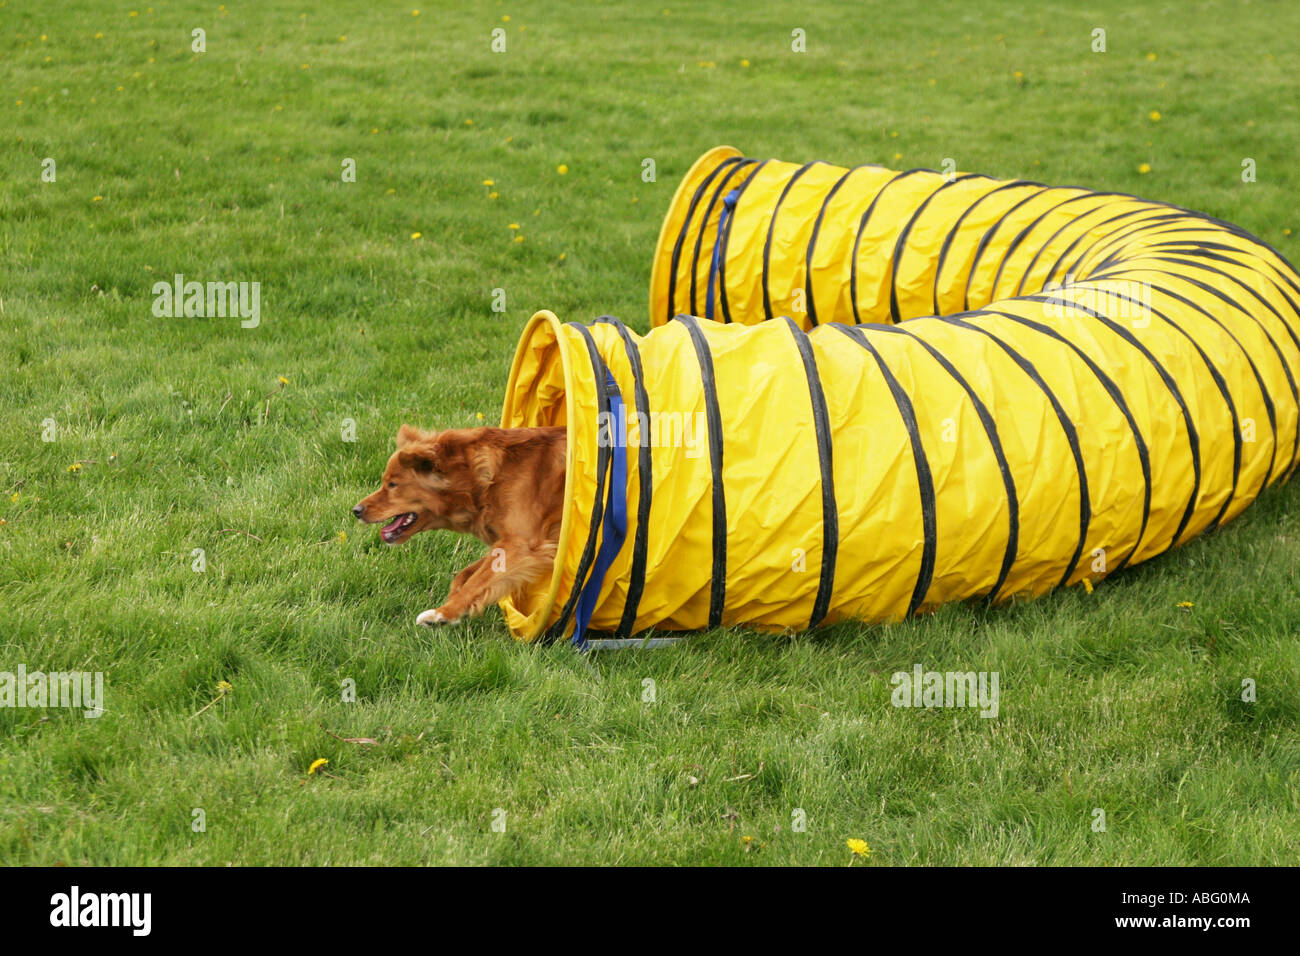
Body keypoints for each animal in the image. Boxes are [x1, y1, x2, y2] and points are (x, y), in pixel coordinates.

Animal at [353, 426, 566, 629]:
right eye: (385, 482)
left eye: (393, 484)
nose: (356, 510)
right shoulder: (506, 544)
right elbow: (465, 575)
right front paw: (454, 606)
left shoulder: (520, 543)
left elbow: (476, 582)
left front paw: (443, 614)